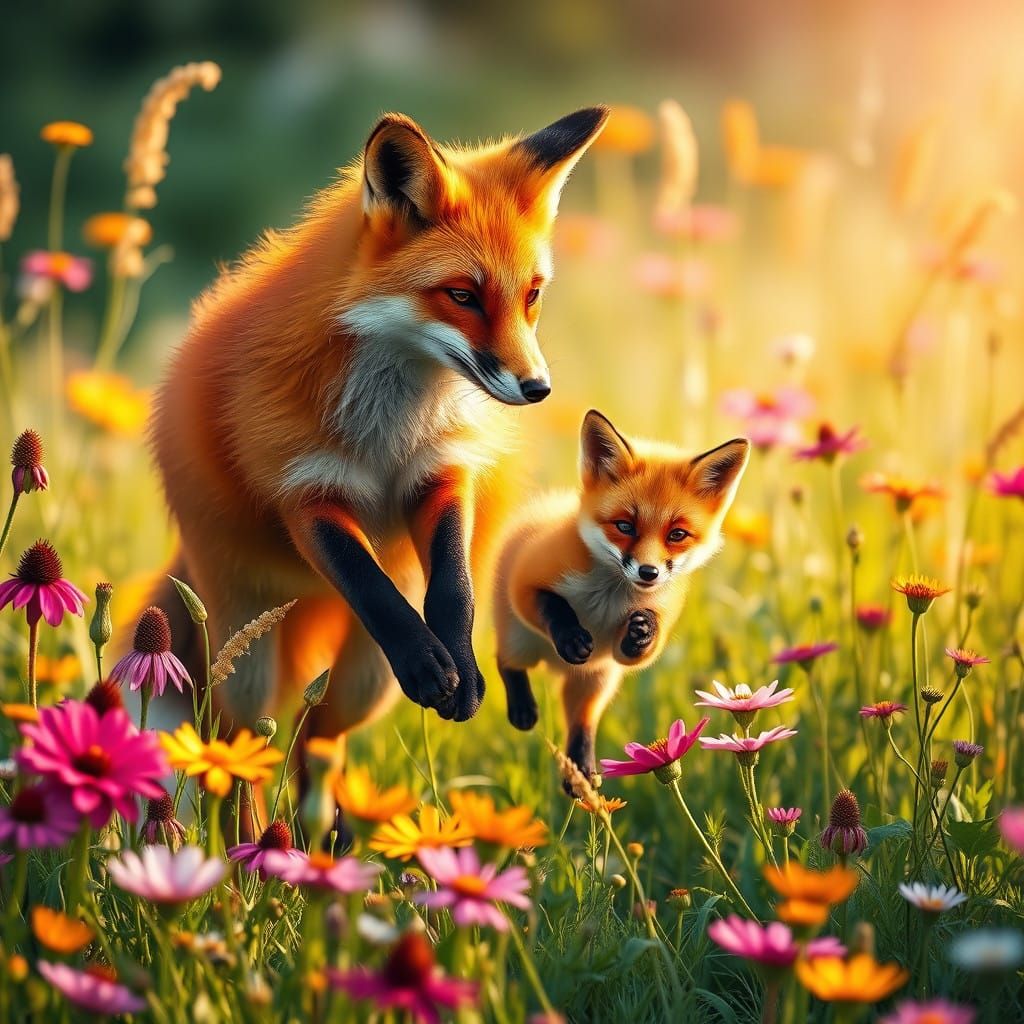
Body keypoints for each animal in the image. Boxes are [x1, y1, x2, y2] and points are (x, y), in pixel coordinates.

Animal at [150, 106, 610, 754]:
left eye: (532, 296)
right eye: (462, 295)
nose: (536, 387)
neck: (387, 435)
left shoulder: (440, 472)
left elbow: (454, 586)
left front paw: (460, 663)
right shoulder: (304, 494)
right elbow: (372, 586)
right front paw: (425, 659)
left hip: (365, 683)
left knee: (317, 737)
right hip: (247, 667)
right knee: (245, 738)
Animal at [493, 410, 750, 784]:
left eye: (677, 535)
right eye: (625, 526)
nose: (648, 572)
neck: (608, 599)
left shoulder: (644, 630)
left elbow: (639, 651)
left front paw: (642, 632)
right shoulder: (526, 582)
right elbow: (553, 605)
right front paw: (571, 635)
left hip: (597, 680)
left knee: (582, 722)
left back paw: (582, 772)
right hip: (521, 643)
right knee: (506, 663)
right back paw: (523, 709)